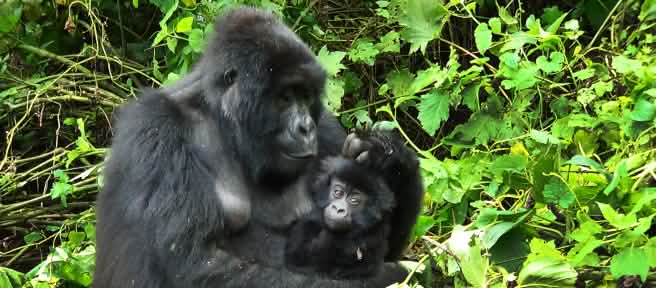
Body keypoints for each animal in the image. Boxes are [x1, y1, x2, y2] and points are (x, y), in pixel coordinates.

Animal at [95, 6, 422, 288]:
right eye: (285, 97)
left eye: (305, 96)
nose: (306, 128)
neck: (222, 119)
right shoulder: (155, 128)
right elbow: (193, 262)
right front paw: (390, 276)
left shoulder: (326, 127)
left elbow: (384, 241)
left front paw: (386, 154)